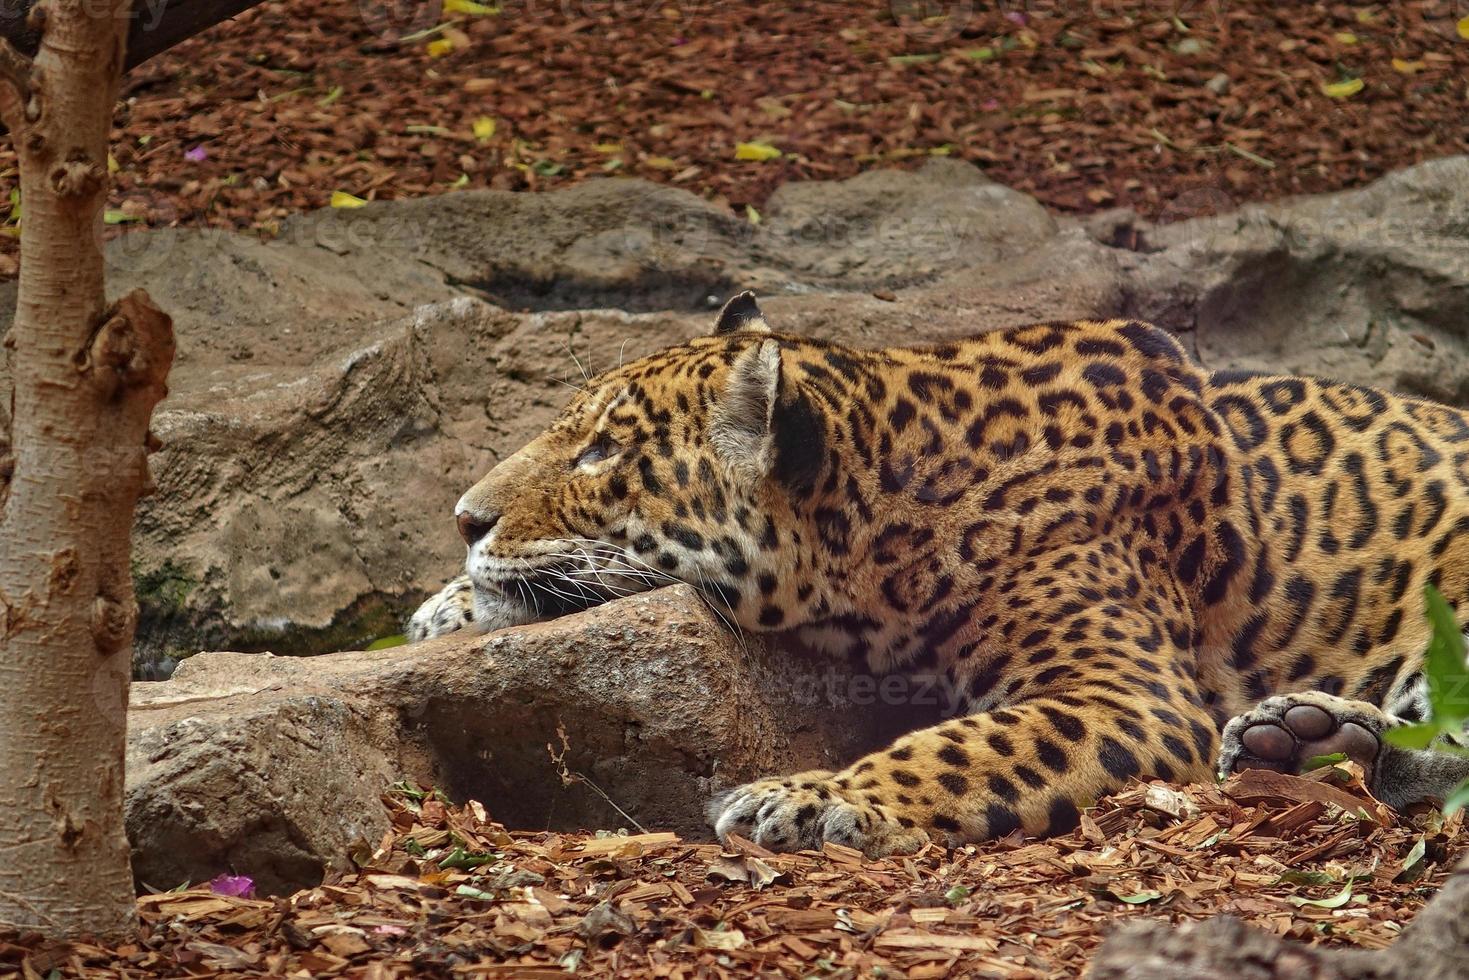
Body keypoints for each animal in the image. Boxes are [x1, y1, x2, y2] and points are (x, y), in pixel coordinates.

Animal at [408, 293, 1469, 858]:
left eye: (602, 453)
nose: (462, 517)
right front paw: (446, 605)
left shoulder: (1126, 694)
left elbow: (963, 747)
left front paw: (816, 798)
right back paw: (1299, 738)